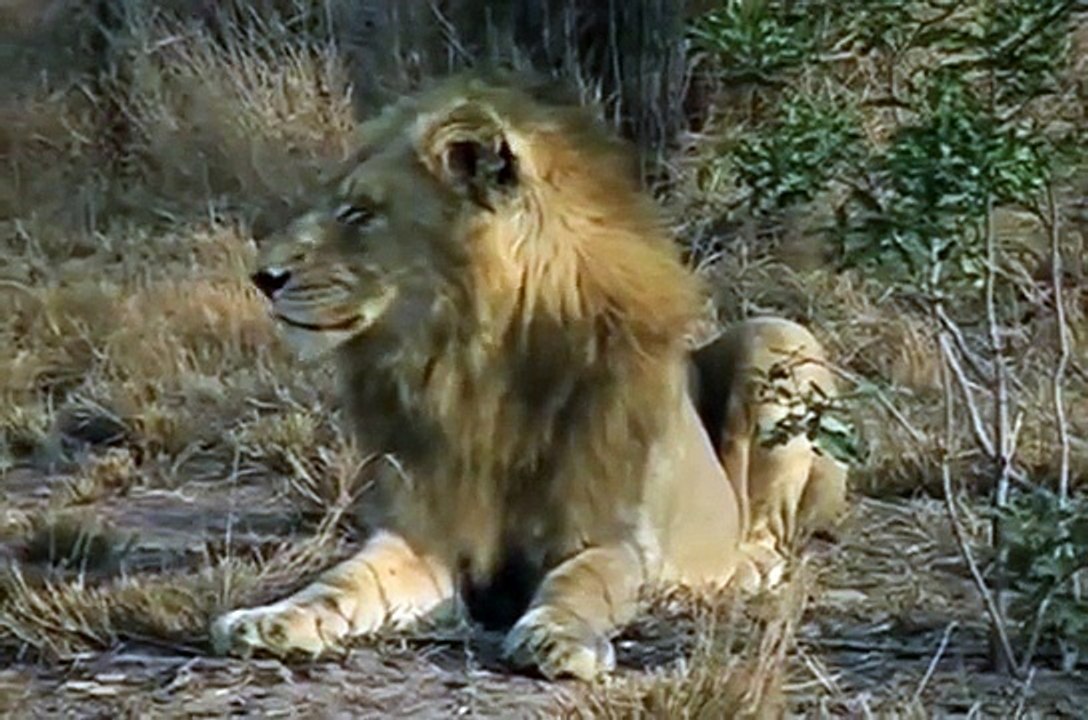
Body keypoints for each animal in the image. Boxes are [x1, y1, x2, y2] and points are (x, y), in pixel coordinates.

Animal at [210, 73, 847, 681]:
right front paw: (270, 619)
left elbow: (580, 584)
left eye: (360, 213)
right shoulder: (425, 534)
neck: (470, 366)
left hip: (779, 335)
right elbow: (343, 579)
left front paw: (560, 640)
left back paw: (742, 571)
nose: (263, 277)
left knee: (770, 535)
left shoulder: (613, 537)